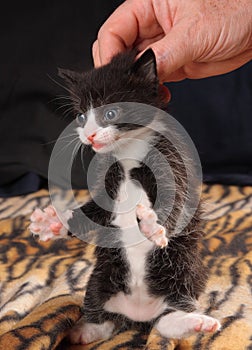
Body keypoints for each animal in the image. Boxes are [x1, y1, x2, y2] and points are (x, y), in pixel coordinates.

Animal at [30, 49, 220, 344]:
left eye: (110, 112)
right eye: (81, 117)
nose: (89, 135)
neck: (128, 153)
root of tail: (138, 315)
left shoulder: (175, 165)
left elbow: (176, 201)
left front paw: (153, 226)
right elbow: (91, 213)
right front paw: (55, 223)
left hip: (186, 270)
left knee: (167, 320)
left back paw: (195, 322)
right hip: (101, 276)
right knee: (105, 321)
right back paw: (80, 331)